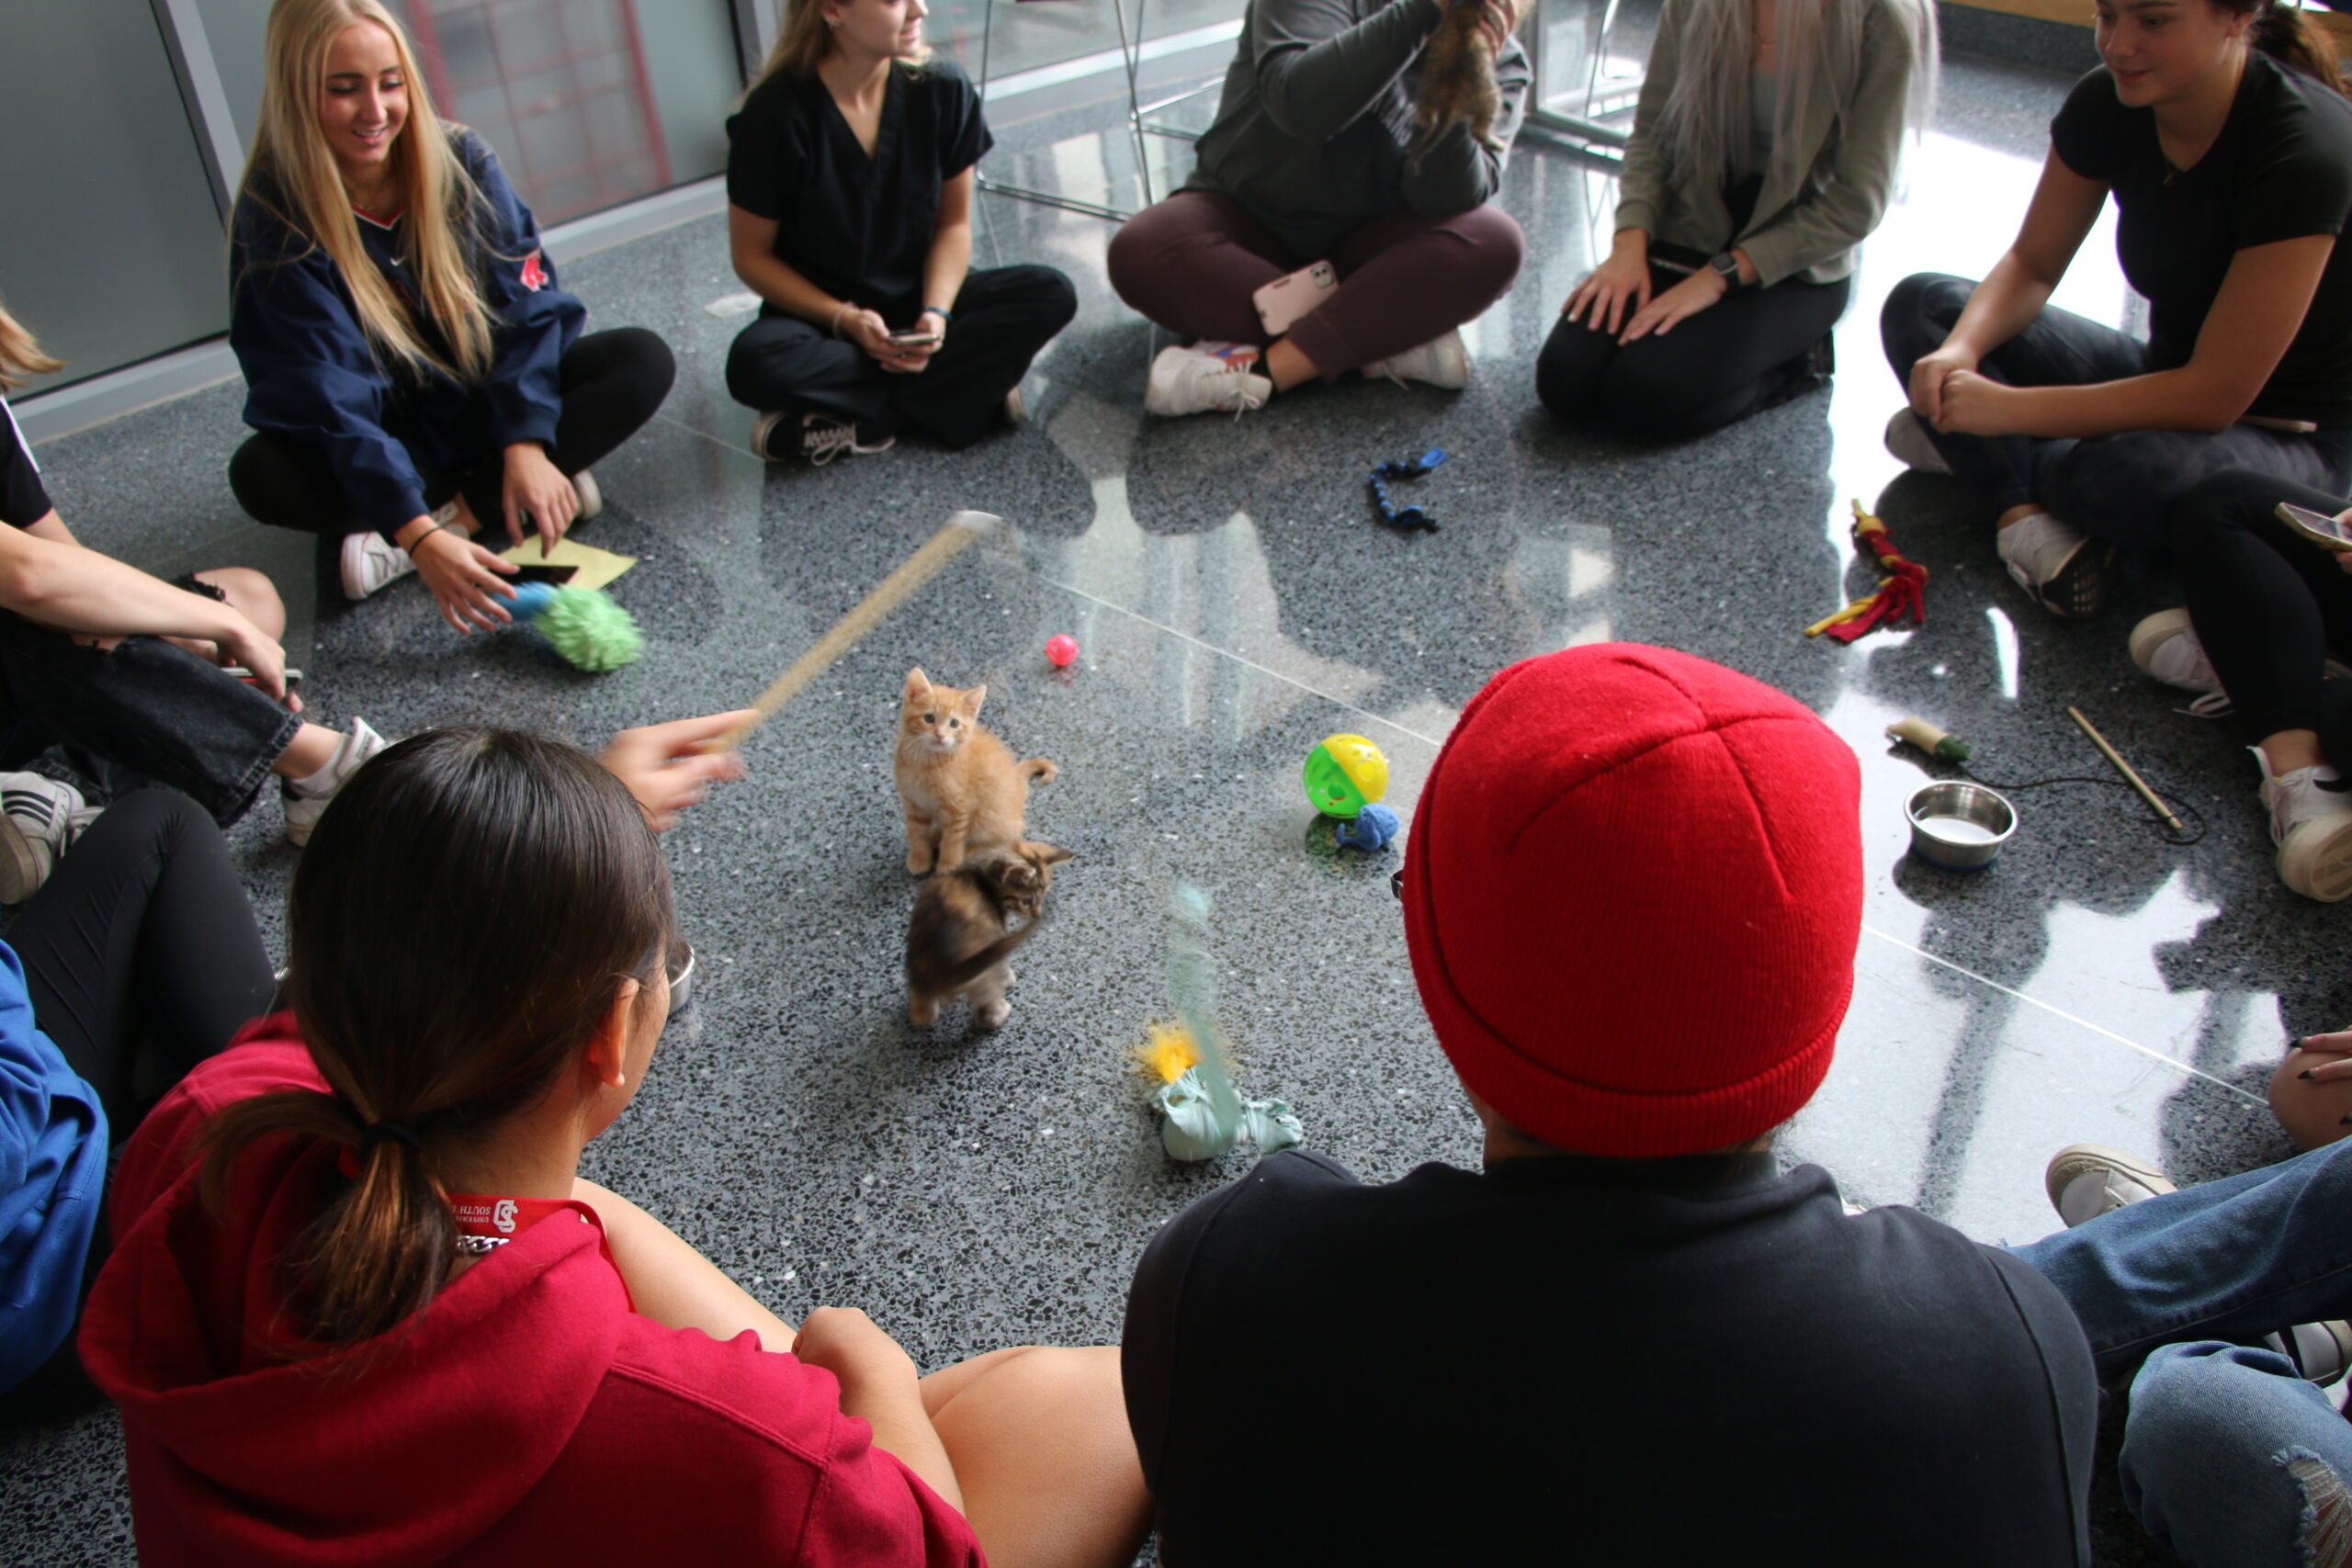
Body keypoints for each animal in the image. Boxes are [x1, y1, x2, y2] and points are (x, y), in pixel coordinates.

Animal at [888, 667, 1058, 879]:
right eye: (929, 718)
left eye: (954, 723)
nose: (940, 735)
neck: (927, 762)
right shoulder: (913, 803)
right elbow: (915, 834)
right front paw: (919, 858)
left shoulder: (958, 808)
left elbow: (952, 840)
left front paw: (948, 864)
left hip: (990, 817)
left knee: (1006, 840)